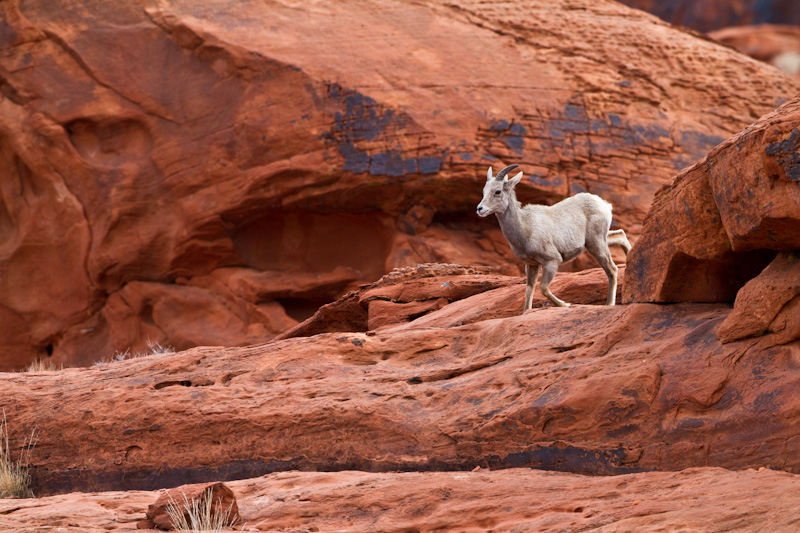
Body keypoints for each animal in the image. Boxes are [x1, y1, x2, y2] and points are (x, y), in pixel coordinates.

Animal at [476, 164, 632, 310]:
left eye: (497, 191)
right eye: (484, 191)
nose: (480, 209)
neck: (525, 228)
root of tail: (605, 205)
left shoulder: (552, 261)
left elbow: (543, 288)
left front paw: (566, 304)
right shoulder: (531, 265)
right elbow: (529, 290)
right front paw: (526, 311)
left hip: (596, 243)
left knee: (612, 269)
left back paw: (609, 304)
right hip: (596, 241)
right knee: (620, 235)